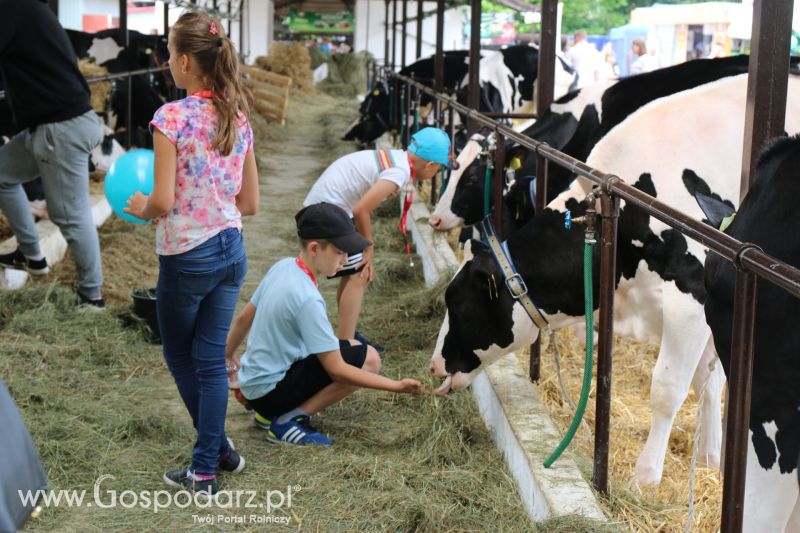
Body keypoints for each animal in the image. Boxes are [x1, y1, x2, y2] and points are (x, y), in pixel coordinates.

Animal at [432, 75, 800, 486]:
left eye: (457, 303)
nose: (433, 366)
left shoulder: (693, 298)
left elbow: (670, 386)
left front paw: (646, 477)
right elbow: (708, 379)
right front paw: (710, 458)